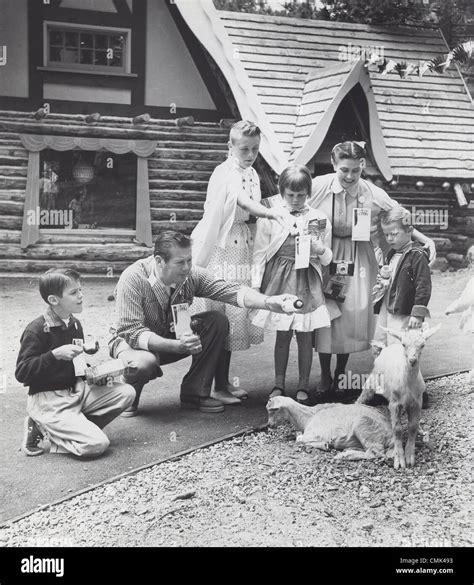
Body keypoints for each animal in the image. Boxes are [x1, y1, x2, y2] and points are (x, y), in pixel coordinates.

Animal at [360, 324, 440, 470]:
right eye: (404, 344)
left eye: (423, 345)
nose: (412, 360)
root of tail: (386, 348)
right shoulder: (395, 403)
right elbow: (397, 429)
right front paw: (399, 460)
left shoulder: (417, 402)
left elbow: (413, 426)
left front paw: (410, 456)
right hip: (372, 380)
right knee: (363, 396)